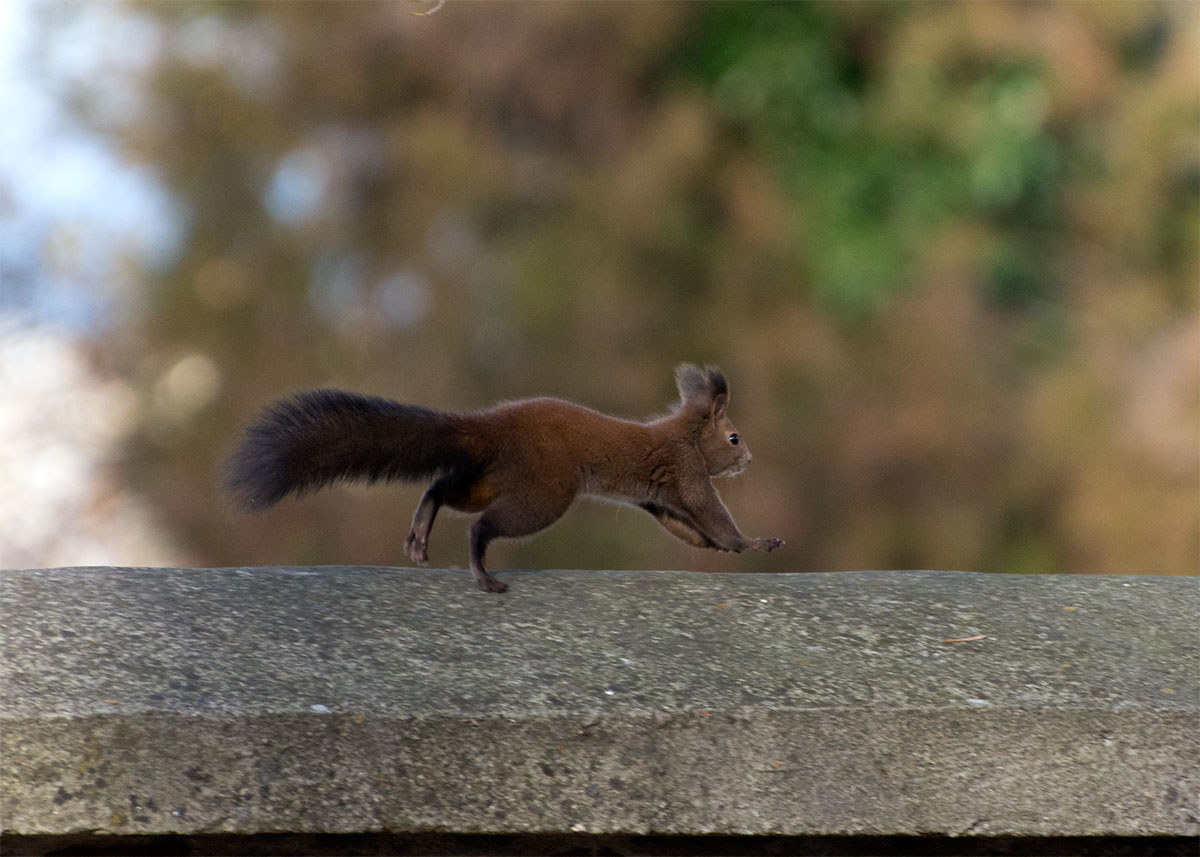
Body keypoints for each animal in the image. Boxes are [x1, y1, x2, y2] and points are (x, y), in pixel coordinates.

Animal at [227, 363, 784, 593]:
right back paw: (483, 574)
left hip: (493, 480)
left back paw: (420, 533)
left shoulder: (659, 499)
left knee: (441, 489)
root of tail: (491, 426)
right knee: (482, 526)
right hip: (544, 492)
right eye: (734, 439)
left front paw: (728, 549)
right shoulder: (686, 473)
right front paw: (754, 542)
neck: (685, 433)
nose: (752, 459)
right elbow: (713, 515)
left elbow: (690, 530)